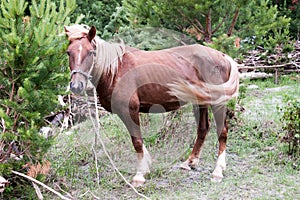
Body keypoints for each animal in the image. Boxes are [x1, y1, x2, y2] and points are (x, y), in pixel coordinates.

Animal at [63, 25, 239, 188]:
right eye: (68, 52)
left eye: (91, 52)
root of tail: (222, 56)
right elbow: (138, 141)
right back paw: (190, 162)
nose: (76, 86)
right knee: (203, 128)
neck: (116, 69)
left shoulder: (130, 110)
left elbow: (137, 141)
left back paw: (218, 171)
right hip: (200, 102)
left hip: (217, 102)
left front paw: (139, 175)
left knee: (222, 131)